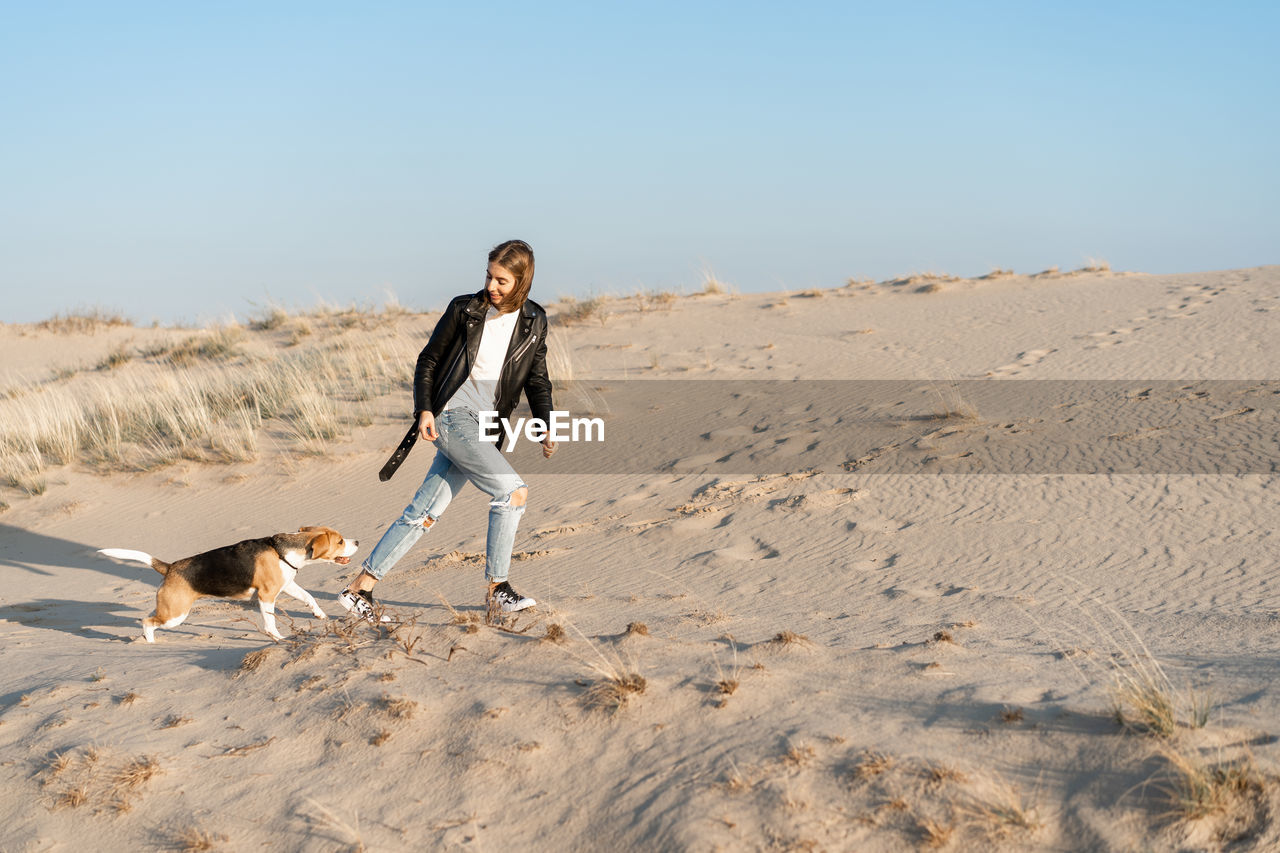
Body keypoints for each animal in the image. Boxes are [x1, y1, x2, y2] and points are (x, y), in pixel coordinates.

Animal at [96, 525, 358, 637]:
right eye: (340, 541)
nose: (357, 542)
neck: (283, 550)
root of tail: (170, 567)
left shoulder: (287, 585)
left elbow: (309, 597)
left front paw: (319, 614)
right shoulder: (266, 596)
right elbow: (270, 622)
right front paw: (279, 639)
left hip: (169, 609)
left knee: (150, 615)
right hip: (175, 616)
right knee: (147, 622)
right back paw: (150, 641)